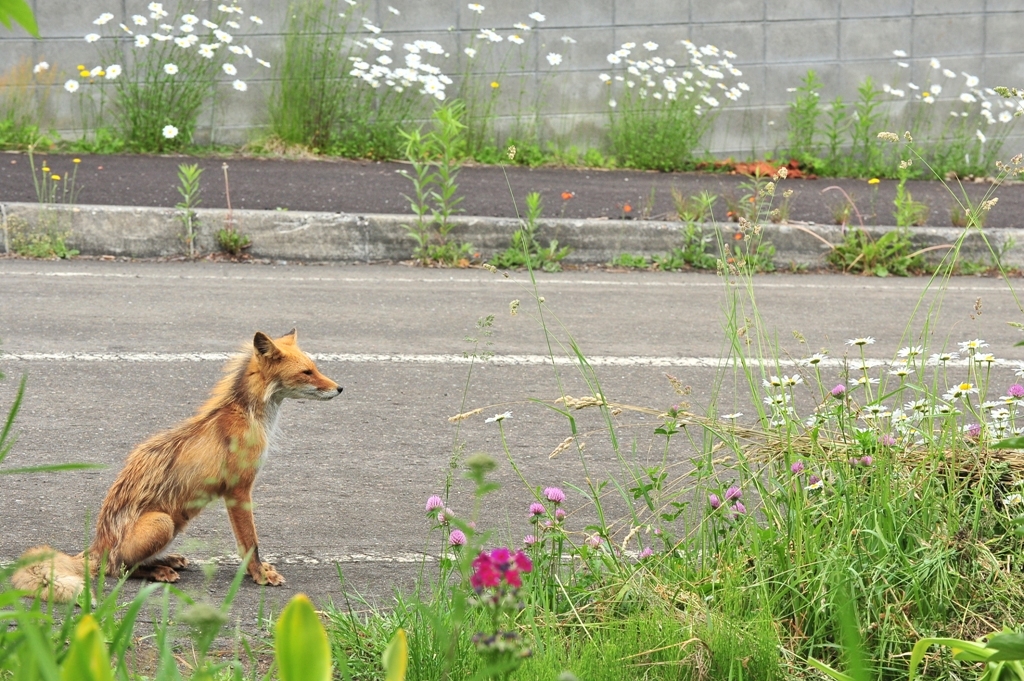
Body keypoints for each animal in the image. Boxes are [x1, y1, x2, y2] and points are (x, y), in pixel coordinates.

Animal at [12, 329, 342, 602]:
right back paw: (158, 572)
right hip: (162, 522)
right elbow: (250, 543)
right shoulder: (238, 490)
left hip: (175, 522)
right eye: (307, 372)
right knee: (119, 569)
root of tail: (96, 548)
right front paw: (259, 575)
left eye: (316, 367)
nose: (340, 388)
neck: (249, 417)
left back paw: (167, 561)